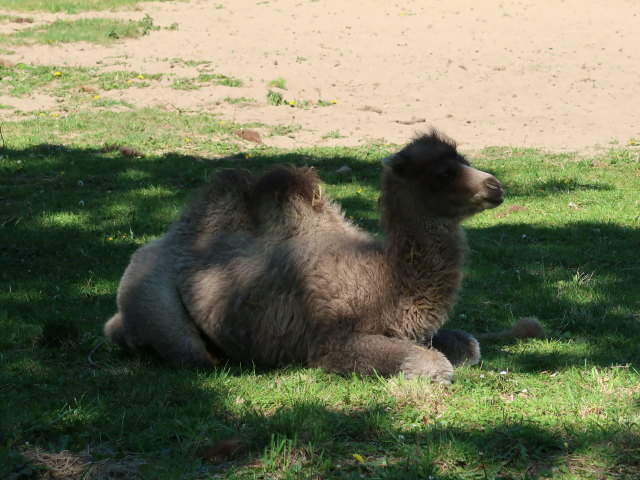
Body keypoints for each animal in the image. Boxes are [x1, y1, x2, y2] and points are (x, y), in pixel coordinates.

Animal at [104, 130, 533, 383]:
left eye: (464, 160)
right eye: (443, 172)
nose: (495, 186)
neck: (384, 283)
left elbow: (469, 346)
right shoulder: (330, 341)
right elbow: (432, 365)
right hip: (152, 294)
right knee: (187, 352)